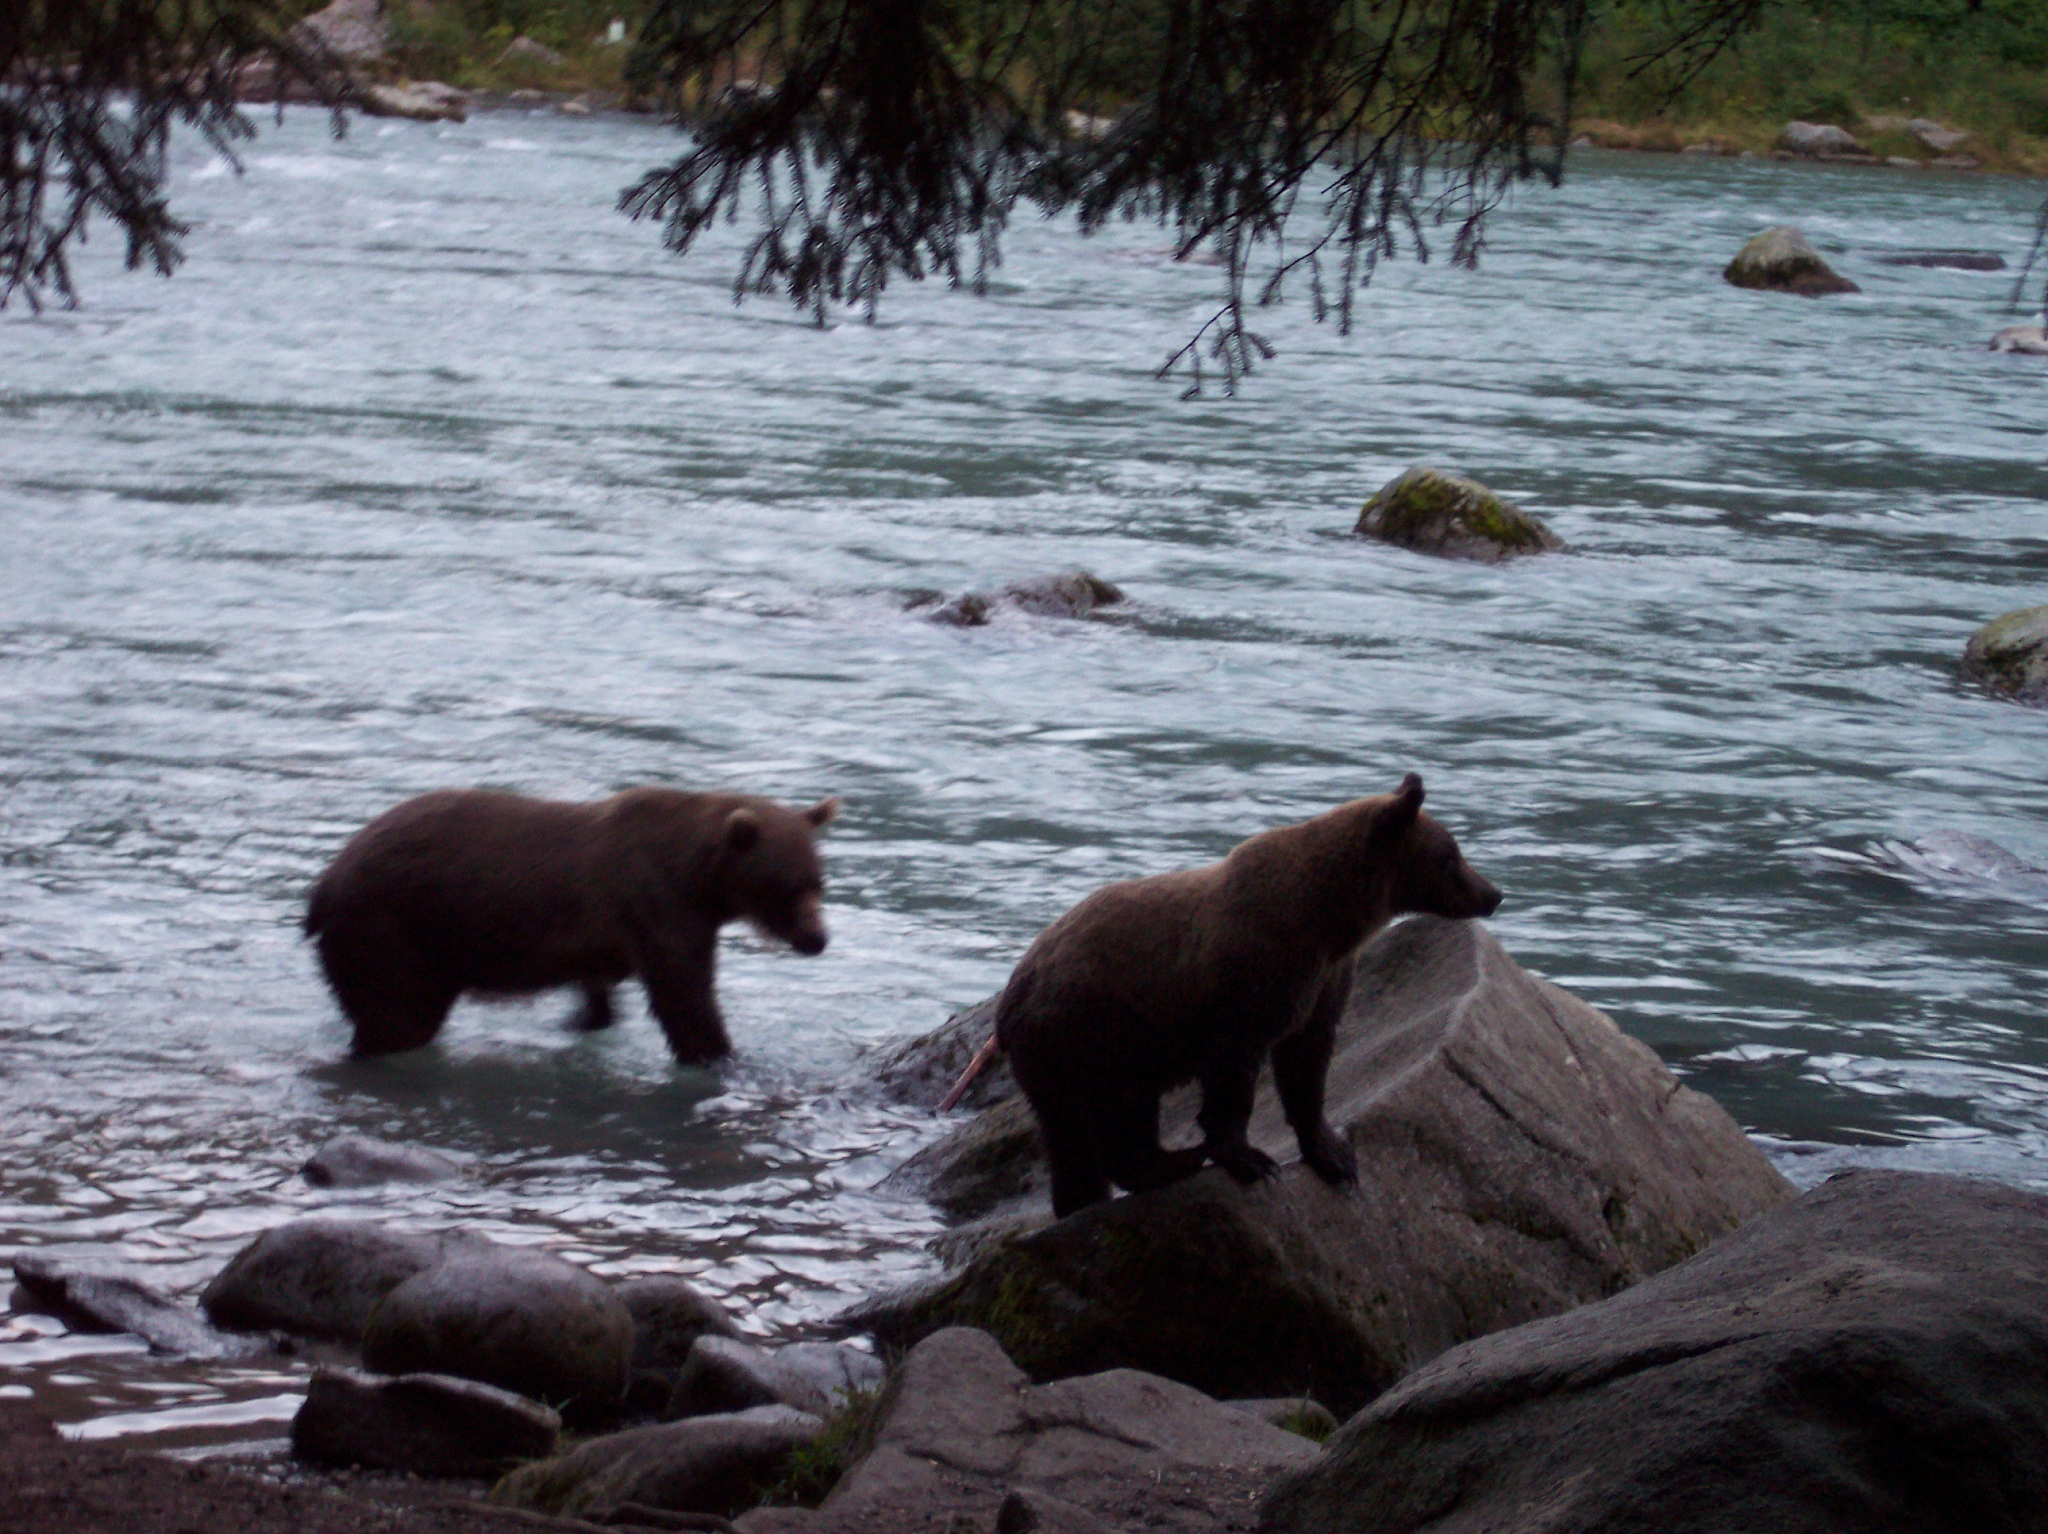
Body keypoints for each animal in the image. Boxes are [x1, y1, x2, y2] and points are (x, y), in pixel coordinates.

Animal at [304, 787, 838, 1063]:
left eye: (819, 880)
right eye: (786, 887)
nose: (817, 939)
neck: (698, 878)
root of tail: (324, 884)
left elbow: (602, 987)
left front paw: (583, 1018)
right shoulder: (659, 904)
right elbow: (684, 993)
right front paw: (718, 1052)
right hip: (395, 930)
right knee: (397, 1012)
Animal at [993, 774, 1500, 1217]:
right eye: (1451, 856)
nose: (1493, 894)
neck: (1331, 915)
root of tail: (1011, 998)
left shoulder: (1326, 978)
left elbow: (1308, 1060)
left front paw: (1333, 1153)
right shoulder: (1255, 969)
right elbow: (1236, 1065)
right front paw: (1250, 1157)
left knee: (1069, 1135)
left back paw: (1088, 1195)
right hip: (1098, 1028)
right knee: (1114, 1110)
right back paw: (1172, 1161)